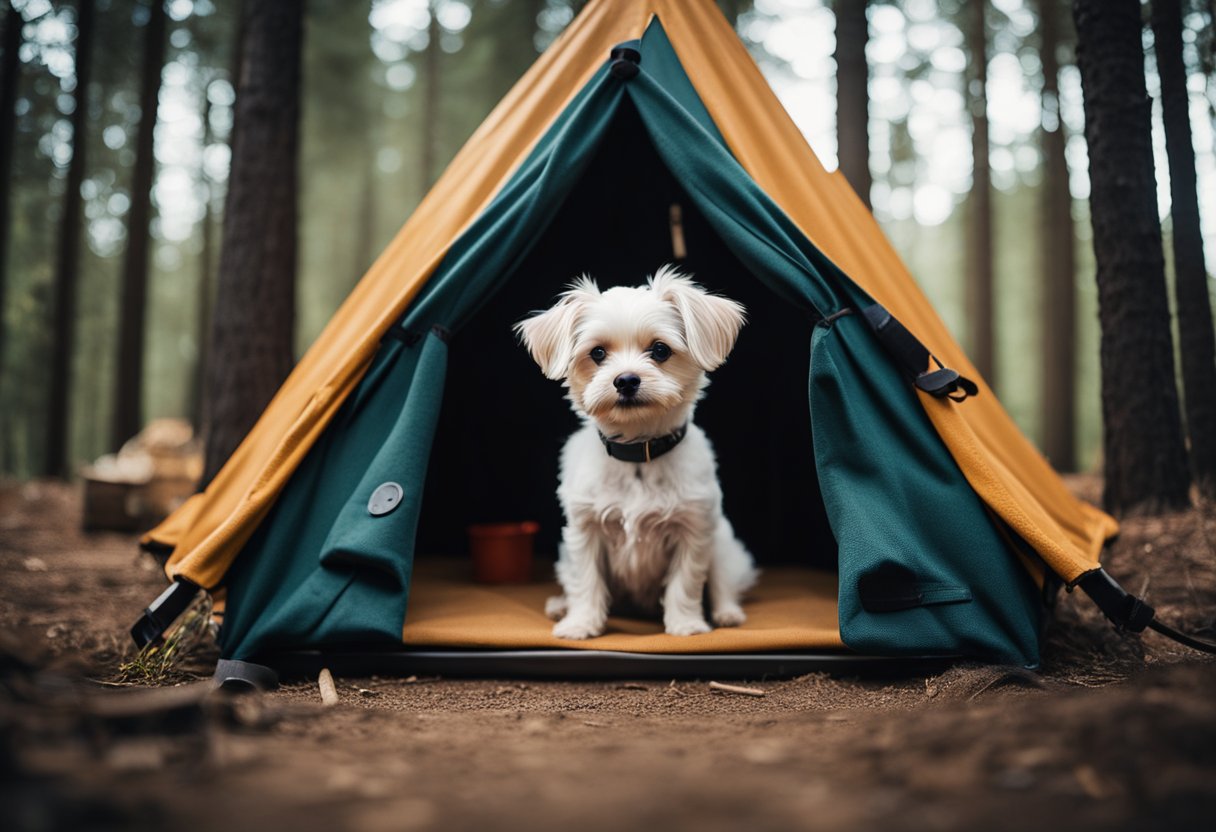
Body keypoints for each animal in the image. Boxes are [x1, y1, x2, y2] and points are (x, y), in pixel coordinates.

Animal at [515, 266, 758, 637]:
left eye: (659, 350)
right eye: (598, 353)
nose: (626, 380)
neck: (637, 454)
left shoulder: (694, 530)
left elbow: (685, 582)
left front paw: (686, 624)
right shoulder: (584, 531)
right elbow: (586, 582)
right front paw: (581, 623)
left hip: (723, 546)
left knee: (723, 586)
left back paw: (727, 614)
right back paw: (561, 606)